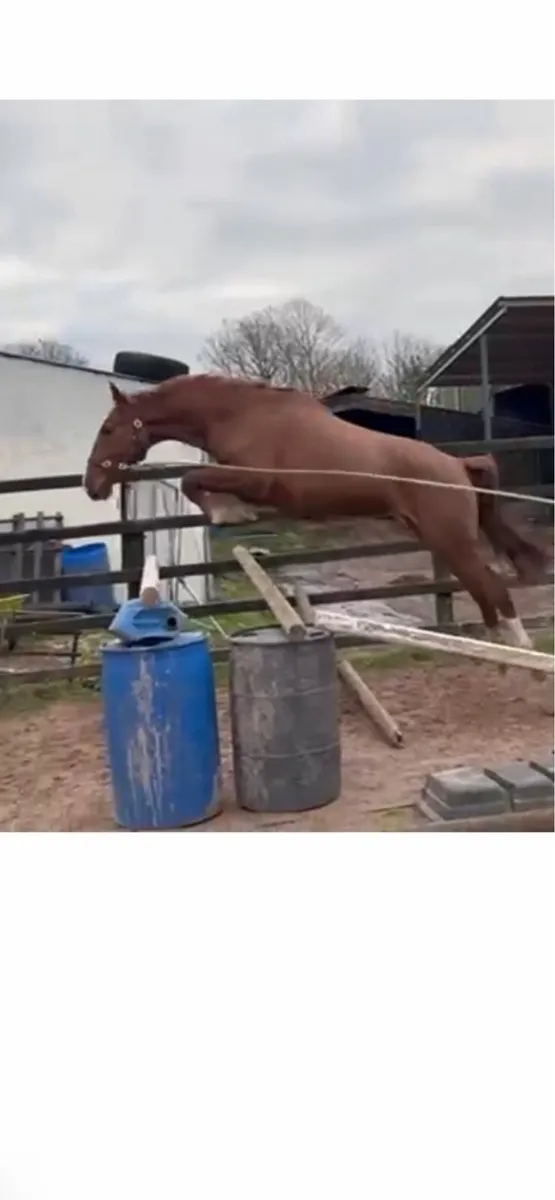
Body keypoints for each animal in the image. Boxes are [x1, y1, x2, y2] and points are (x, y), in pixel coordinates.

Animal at [83, 372, 548, 649]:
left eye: (108, 429)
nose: (92, 486)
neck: (242, 414)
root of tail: (458, 466)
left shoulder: (255, 480)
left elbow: (192, 479)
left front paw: (229, 513)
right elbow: (195, 480)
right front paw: (231, 512)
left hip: (452, 541)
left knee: (494, 591)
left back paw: (520, 652)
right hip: (442, 541)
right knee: (485, 593)